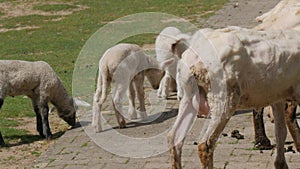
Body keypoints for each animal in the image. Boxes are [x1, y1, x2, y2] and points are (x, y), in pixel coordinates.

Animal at [168, 26, 300, 169]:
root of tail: (195, 56)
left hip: (188, 96)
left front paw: (281, 164)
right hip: (224, 98)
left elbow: (280, 132)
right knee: (205, 144)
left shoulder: (277, 97)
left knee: (174, 137)